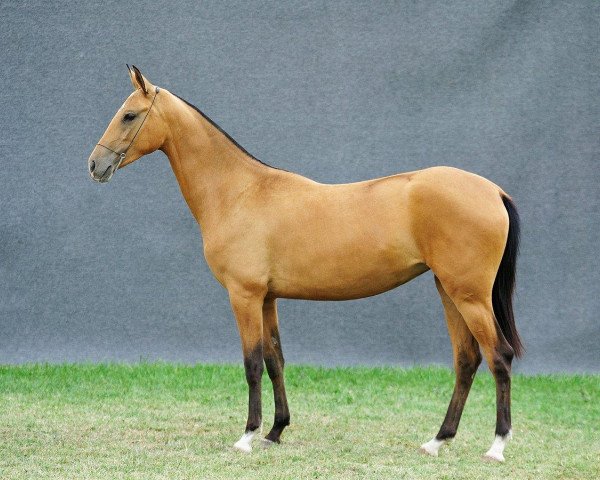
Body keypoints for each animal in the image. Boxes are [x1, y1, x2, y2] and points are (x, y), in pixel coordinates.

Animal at [86, 66, 524, 462]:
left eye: (129, 115)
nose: (94, 165)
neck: (239, 191)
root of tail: (493, 191)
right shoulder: (267, 298)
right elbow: (275, 361)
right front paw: (275, 432)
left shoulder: (244, 296)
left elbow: (251, 364)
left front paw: (247, 436)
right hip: (448, 292)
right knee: (466, 361)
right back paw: (437, 441)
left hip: (470, 297)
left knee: (499, 358)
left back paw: (496, 446)